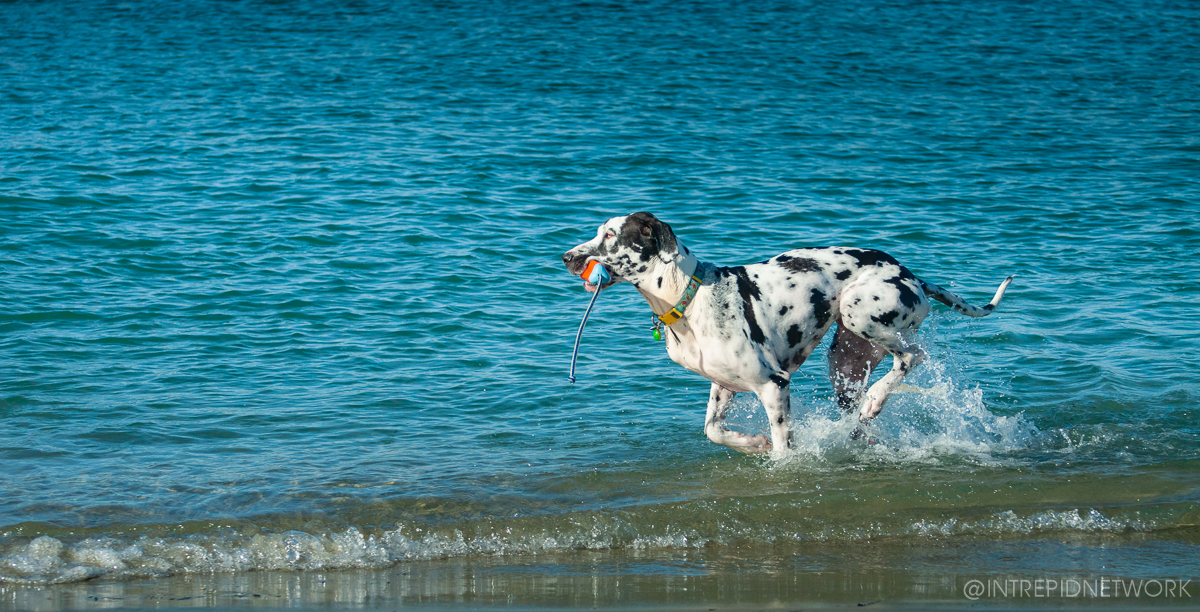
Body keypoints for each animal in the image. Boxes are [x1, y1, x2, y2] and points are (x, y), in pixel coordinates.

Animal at [561, 212, 1012, 456]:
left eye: (610, 236)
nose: (566, 256)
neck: (689, 298)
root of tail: (913, 275)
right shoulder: (724, 385)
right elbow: (713, 431)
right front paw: (752, 443)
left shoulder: (773, 384)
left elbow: (782, 448)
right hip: (846, 362)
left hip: (862, 312)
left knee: (912, 356)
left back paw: (877, 397)